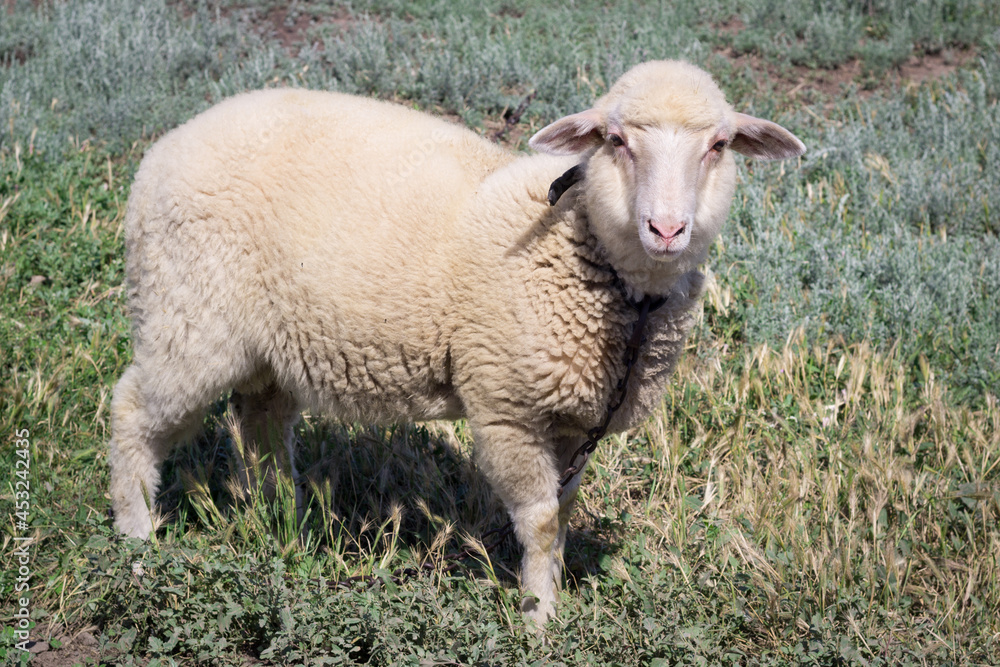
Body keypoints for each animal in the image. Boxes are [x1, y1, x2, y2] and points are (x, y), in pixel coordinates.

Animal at [109, 60, 804, 624]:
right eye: (615, 140)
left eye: (719, 145)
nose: (666, 228)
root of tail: (168, 144)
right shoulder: (506, 407)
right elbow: (541, 520)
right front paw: (538, 620)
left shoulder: (576, 419)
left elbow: (563, 513)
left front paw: (551, 595)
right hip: (189, 316)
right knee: (133, 412)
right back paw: (138, 544)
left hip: (266, 343)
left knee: (261, 424)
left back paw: (285, 524)